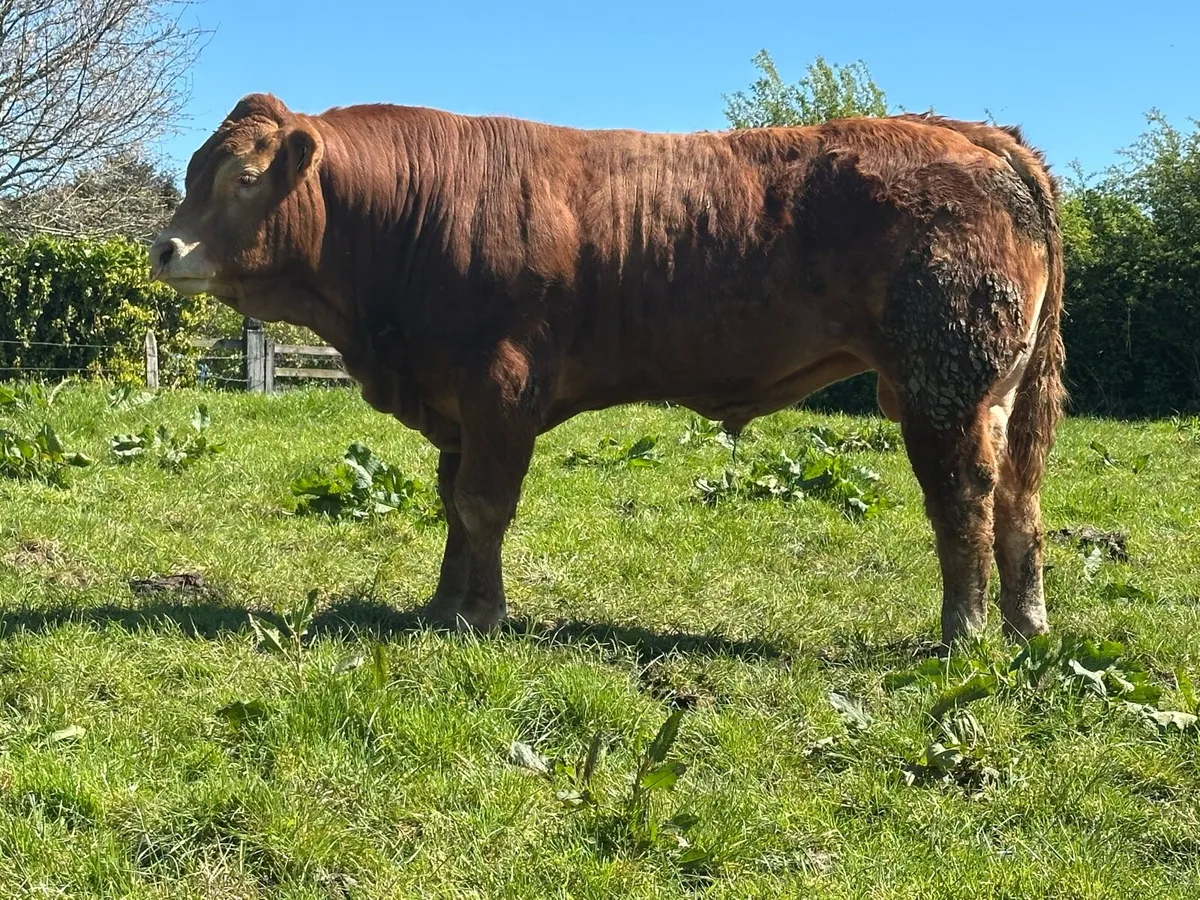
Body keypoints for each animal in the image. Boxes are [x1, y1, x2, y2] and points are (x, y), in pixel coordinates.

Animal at [149, 93, 1065, 647]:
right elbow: (453, 507)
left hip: (944, 385)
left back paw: (962, 634)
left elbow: (483, 506)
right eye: (194, 173)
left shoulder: (499, 387)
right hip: (994, 391)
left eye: (245, 177)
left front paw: (483, 616)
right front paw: (442, 607)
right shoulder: (456, 400)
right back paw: (1024, 628)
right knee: (1018, 498)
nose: (166, 248)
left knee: (963, 498)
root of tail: (964, 132)